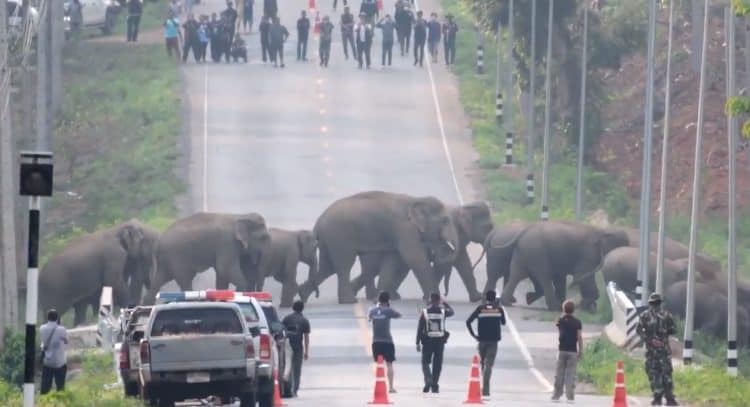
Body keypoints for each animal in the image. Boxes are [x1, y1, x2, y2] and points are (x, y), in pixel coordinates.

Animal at [143, 212, 271, 304]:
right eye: (263, 237)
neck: (239, 216)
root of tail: (158, 243)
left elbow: (221, 273)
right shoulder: (227, 242)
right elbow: (225, 268)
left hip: (166, 260)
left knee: (159, 280)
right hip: (176, 257)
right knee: (185, 280)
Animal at [297, 191, 459, 304]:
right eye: (445, 220)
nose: (447, 247)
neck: (416, 199)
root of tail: (318, 223)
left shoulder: (397, 234)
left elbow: (392, 260)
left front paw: (382, 298)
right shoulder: (404, 229)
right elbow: (414, 258)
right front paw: (434, 300)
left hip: (329, 240)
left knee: (327, 268)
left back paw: (302, 294)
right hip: (339, 236)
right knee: (343, 266)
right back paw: (349, 301)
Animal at [349, 202, 494, 303]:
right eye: (488, 227)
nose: (446, 294)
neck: (462, 208)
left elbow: (463, 263)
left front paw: (476, 298)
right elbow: (443, 263)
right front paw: (429, 297)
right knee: (376, 269)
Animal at [499, 221, 630, 311]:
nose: (578, 304)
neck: (603, 231)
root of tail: (523, 232)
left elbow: (563, 277)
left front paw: (587, 306)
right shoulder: (588, 253)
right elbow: (582, 275)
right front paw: (587, 306)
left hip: (523, 252)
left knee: (516, 275)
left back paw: (509, 302)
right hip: (537, 252)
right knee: (544, 277)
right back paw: (554, 307)